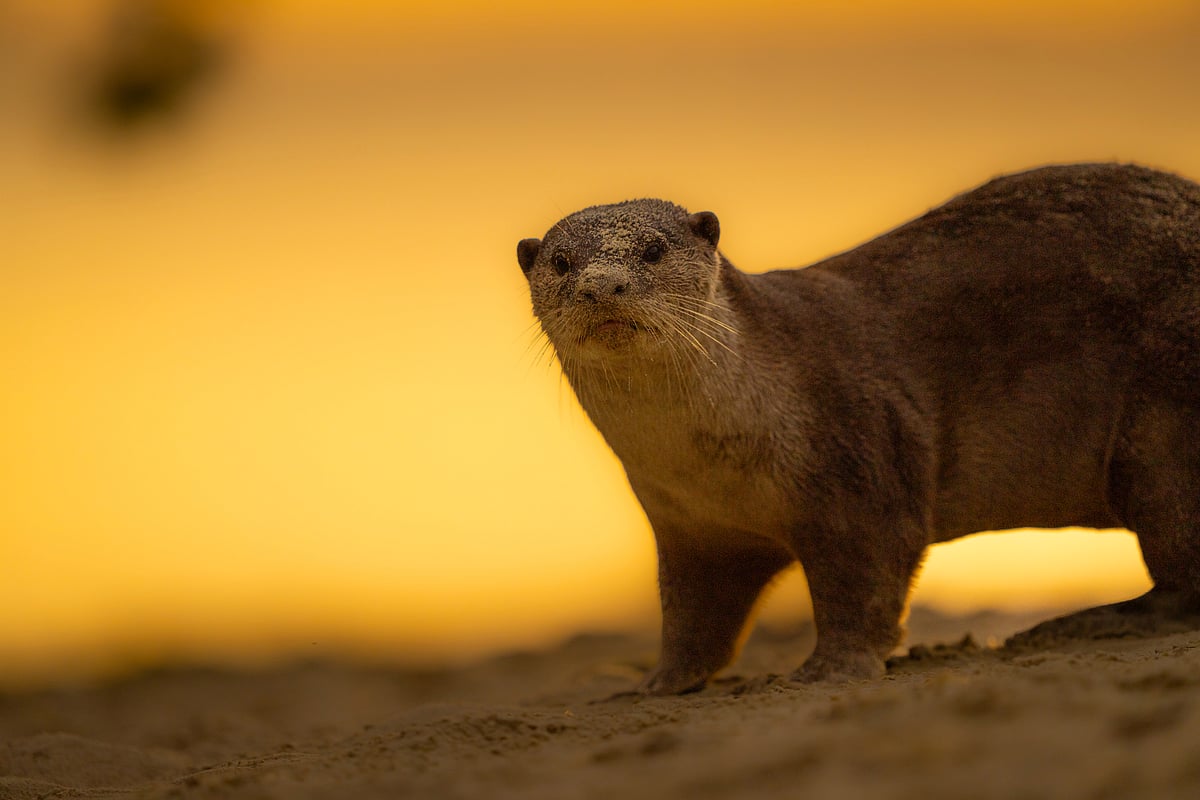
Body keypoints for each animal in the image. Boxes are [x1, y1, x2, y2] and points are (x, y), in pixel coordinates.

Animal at [515, 163, 1200, 694]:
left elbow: (866, 580)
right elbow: (692, 616)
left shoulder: (862, 455)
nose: (602, 285)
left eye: (653, 249)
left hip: (1162, 429)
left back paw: (1087, 620)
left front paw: (831, 669)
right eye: (562, 261)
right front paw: (657, 682)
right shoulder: (692, 529)